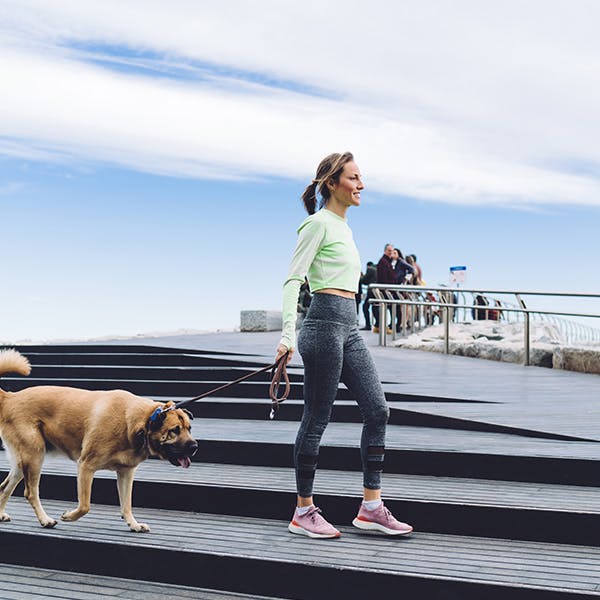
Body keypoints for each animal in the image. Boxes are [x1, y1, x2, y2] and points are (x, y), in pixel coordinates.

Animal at [0, 350, 197, 532]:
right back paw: (45, 519)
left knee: (4, 487)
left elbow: (126, 504)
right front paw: (69, 516)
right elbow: (85, 505)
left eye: (189, 428)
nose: (195, 446)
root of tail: (11, 397)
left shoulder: (126, 473)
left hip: (23, 462)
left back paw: (2, 514)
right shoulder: (86, 466)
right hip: (34, 457)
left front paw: (133, 524)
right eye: (174, 430)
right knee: (30, 493)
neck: (139, 422)